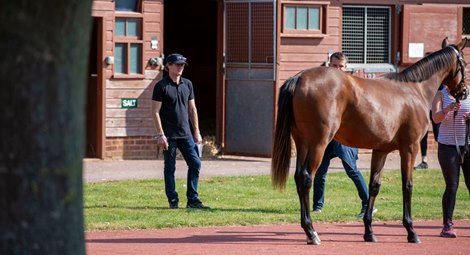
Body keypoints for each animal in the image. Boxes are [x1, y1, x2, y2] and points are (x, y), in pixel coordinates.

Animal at [272, 37, 466, 245]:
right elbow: (407, 185)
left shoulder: (380, 150)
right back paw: (311, 232)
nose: (464, 92)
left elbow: (374, 186)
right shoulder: (410, 147)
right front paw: (411, 231)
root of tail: (299, 78)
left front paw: (369, 231)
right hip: (318, 144)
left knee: (299, 177)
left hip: (302, 143)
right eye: (464, 63)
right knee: (307, 178)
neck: (415, 89)